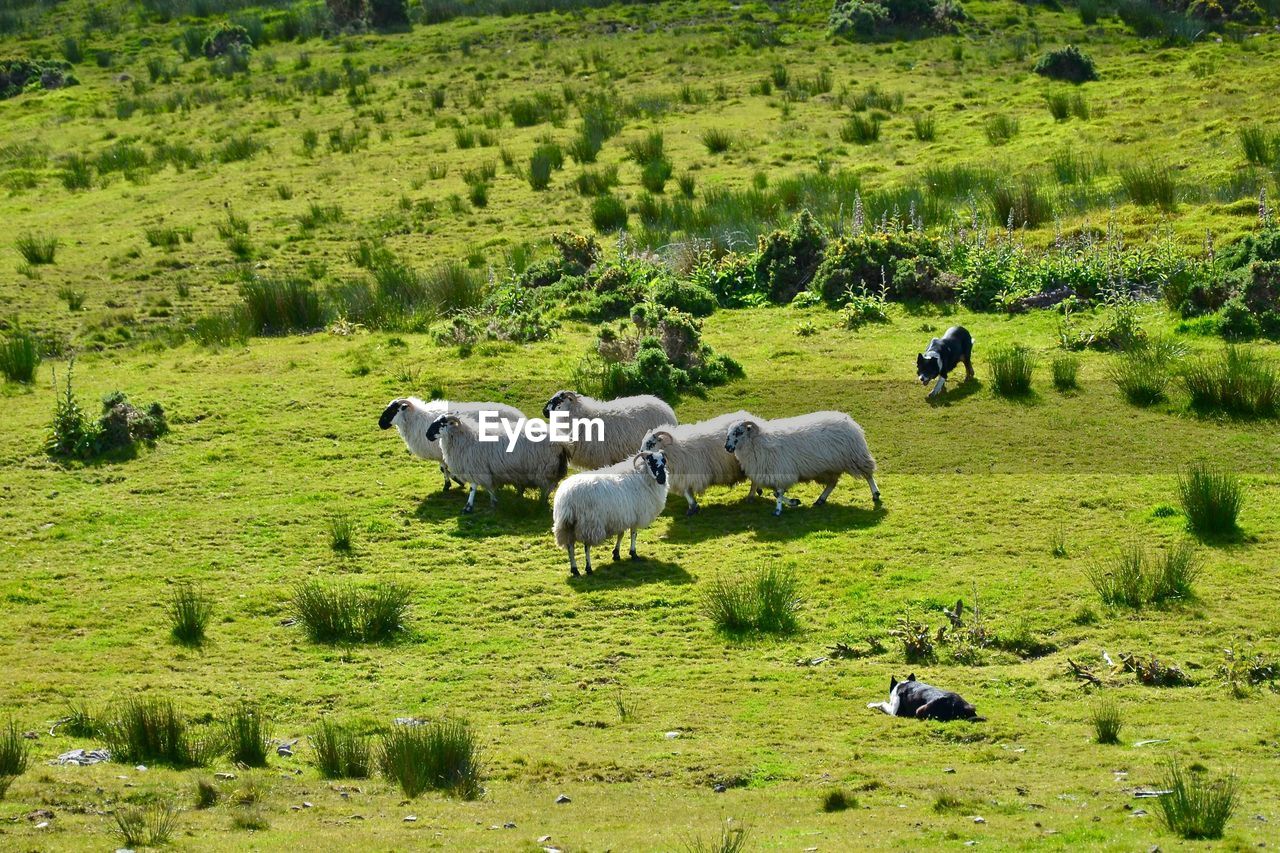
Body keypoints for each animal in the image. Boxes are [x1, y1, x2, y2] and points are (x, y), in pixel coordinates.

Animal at [373, 394, 524, 489]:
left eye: (393, 410)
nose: (380, 424)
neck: (414, 419)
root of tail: (520, 415)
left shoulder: (443, 451)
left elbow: (443, 469)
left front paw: (452, 482)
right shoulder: (442, 452)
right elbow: (443, 468)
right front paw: (455, 481)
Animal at [721, 409, 880, 514]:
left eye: (739, 432)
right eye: (728, 433)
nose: (727, 447)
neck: (757, 441)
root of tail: (847, 419)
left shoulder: (781, 471)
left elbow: (778, 493)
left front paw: (779, 510)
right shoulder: (772, 474)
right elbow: (776, 493)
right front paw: (793, 502)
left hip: (856, 456)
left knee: (868, 475)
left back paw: (875, 494)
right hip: (830, 467)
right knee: (832, 483)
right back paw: (820, 499)